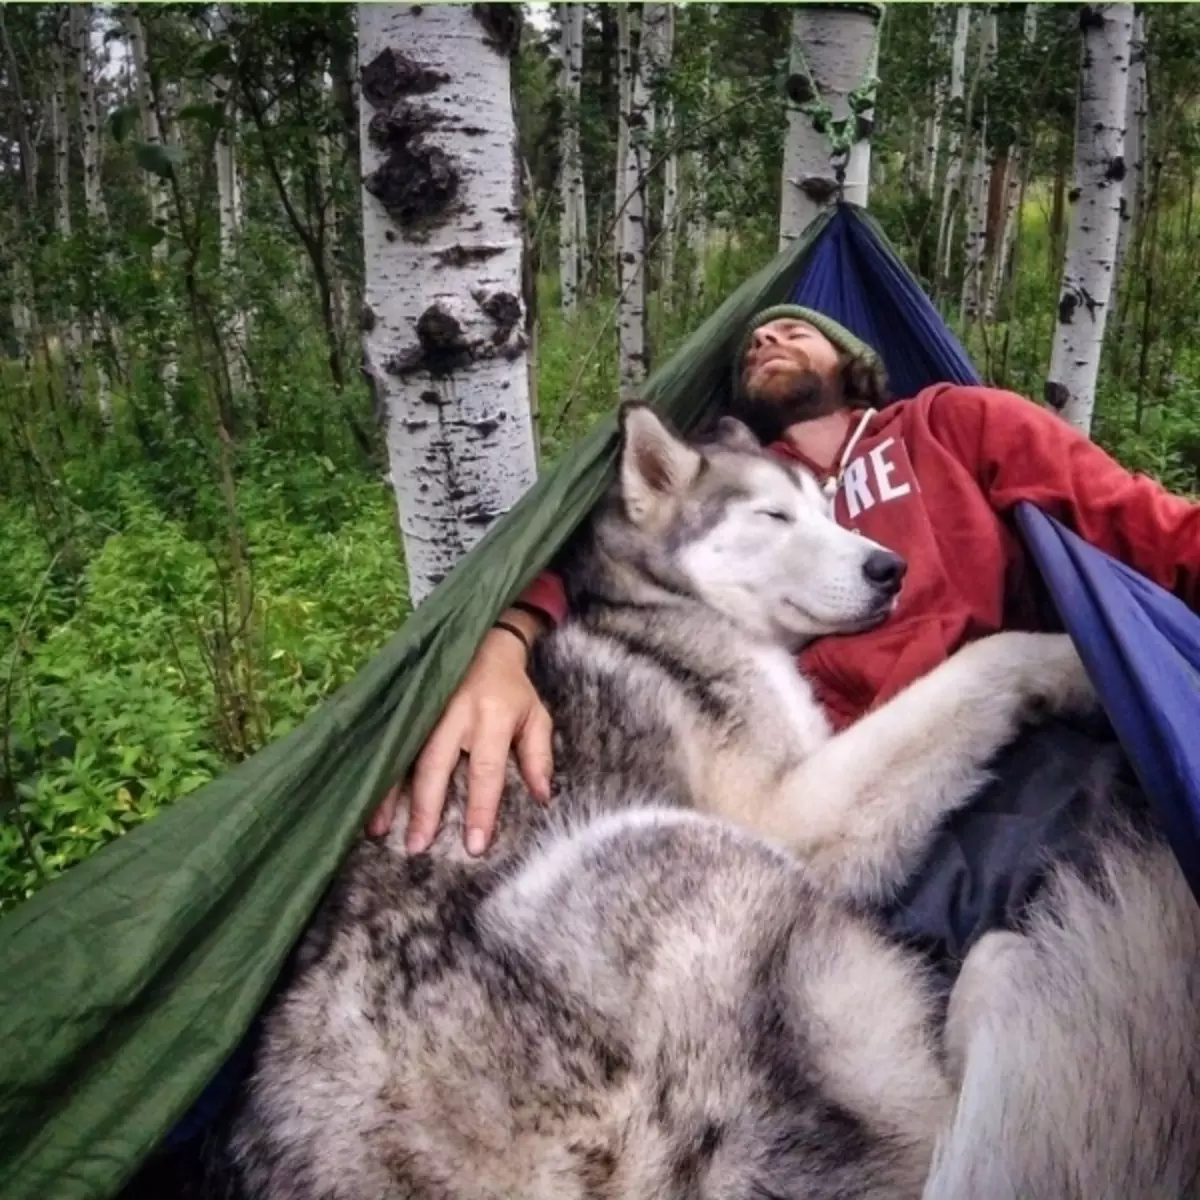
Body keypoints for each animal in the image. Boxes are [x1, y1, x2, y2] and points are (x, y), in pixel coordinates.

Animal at [223, 405, 1200, 1200]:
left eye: (829, 508)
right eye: (773, 516)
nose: (889, 568)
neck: (669, 608)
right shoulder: (791, 817)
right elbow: (979, 665)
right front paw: (1074, 662)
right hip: (671, 852)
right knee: (942, 1126)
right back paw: (1017, 976)